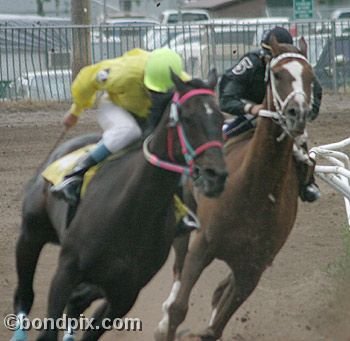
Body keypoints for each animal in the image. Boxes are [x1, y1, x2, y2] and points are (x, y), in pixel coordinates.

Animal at [12, 69, 227, 340]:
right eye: (187, 118)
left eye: (220, 118)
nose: (216, 176)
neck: (131, 212)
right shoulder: (66, 271)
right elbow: (49, 329)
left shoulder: (126, 293)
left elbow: (89, 326)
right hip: (31, 234)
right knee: (24, 293)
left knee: (77, 301)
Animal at [154, 37, 316, 340]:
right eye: (278, 75)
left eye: (311, 77)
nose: (296, 113)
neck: (254, 190)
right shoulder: (203, 244)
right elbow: (179, 309)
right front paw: (166, 324)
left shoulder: (252, 269)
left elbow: (214, 327)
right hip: (185, 214)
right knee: (178, 267)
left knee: (220, 290)